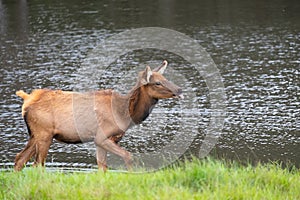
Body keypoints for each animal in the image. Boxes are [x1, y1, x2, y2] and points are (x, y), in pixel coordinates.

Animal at [14, 60, 183, 171]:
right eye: (157, 83)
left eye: (165, 79)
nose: (179, 89)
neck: (125, 114)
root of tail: (27, 99)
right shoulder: (101, 136)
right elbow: (128, 156)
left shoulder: (102, 141)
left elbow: (102, 167)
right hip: (44, 133)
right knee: (37, 164)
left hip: (35, 135)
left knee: (19, 159)